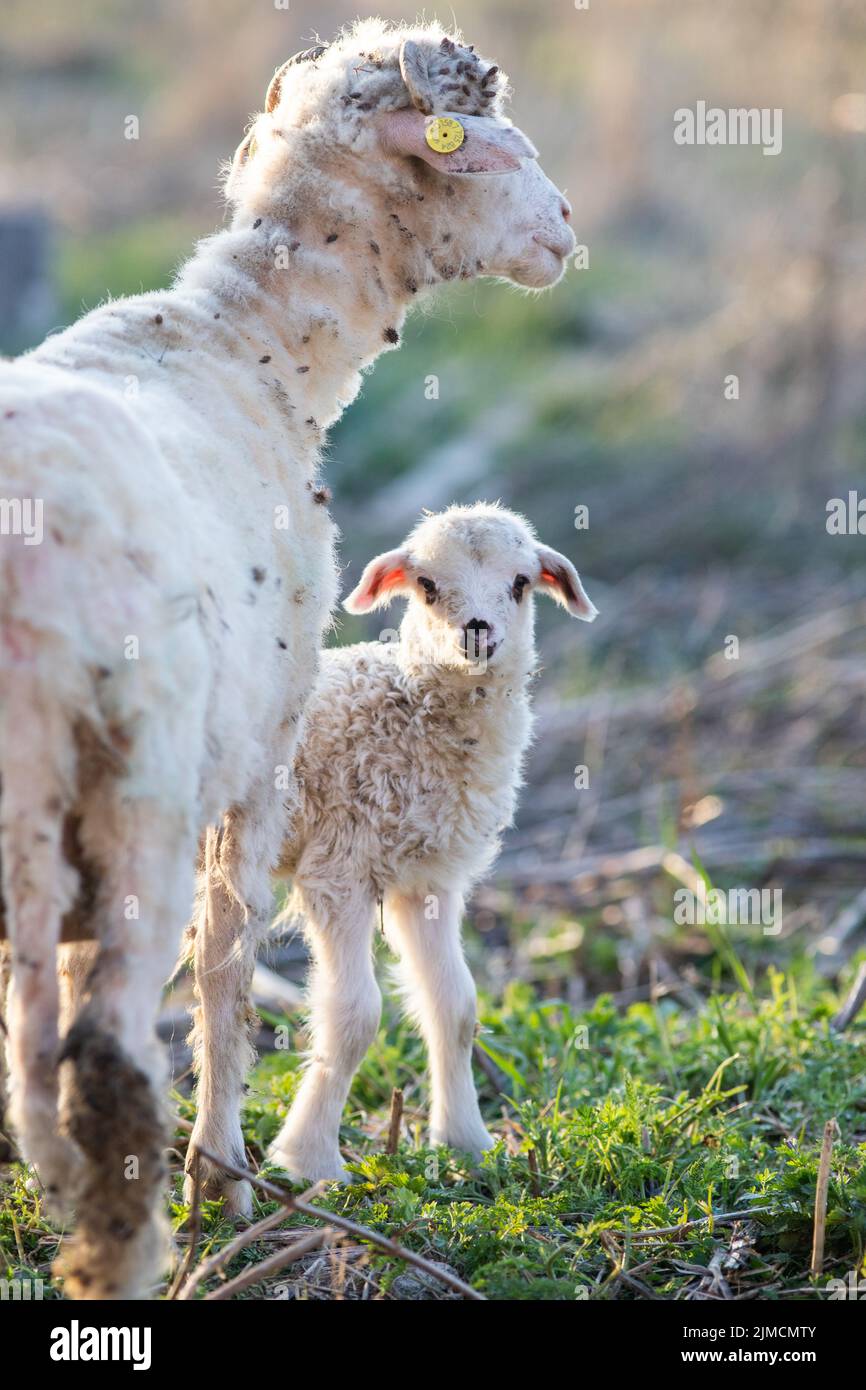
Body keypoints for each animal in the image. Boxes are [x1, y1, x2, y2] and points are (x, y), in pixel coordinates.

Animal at [266, 504, 597, 1181]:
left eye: (521, 582)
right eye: (425, 585)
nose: (477, 632)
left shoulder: (428, 878)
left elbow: (456, 1006)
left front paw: (468, 1142)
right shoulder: (338, 866)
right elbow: (354, 1016)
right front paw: (311, 1160)